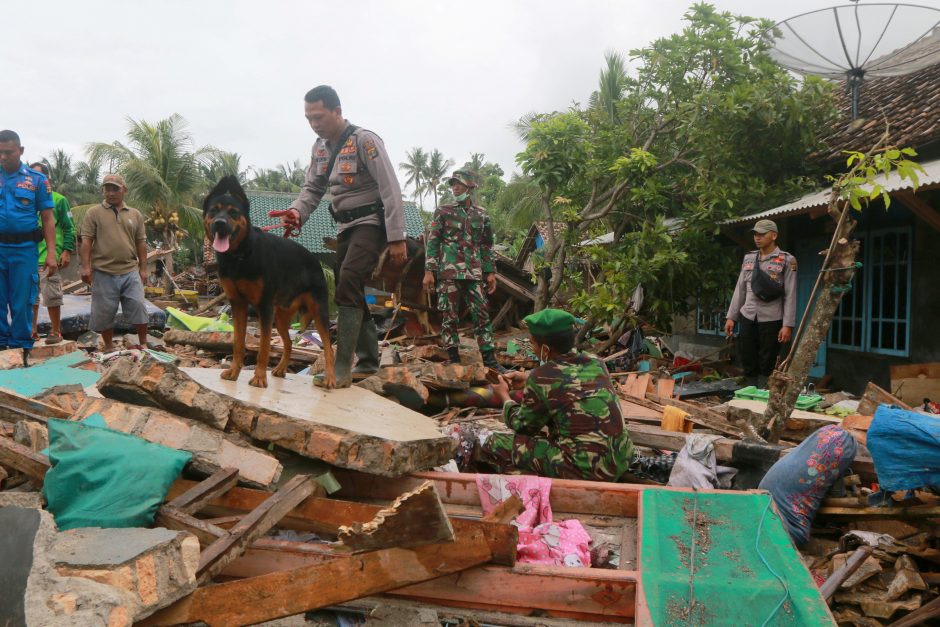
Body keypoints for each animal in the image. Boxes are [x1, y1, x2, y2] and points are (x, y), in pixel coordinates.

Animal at [204, 174, 336, 386]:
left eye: (233, 213)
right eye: (213, 211)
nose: (220, 223)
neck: (240, 255)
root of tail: (315, 261)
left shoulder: (264, 307)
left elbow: (264, 347)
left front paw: (259, 377)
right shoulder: (238, 304)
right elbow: (238, 343)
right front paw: (234, 372)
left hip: (319, 311)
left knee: (328, 347)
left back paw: (330, 379)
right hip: (280, 317)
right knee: (288, 342)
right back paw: (281, 369)